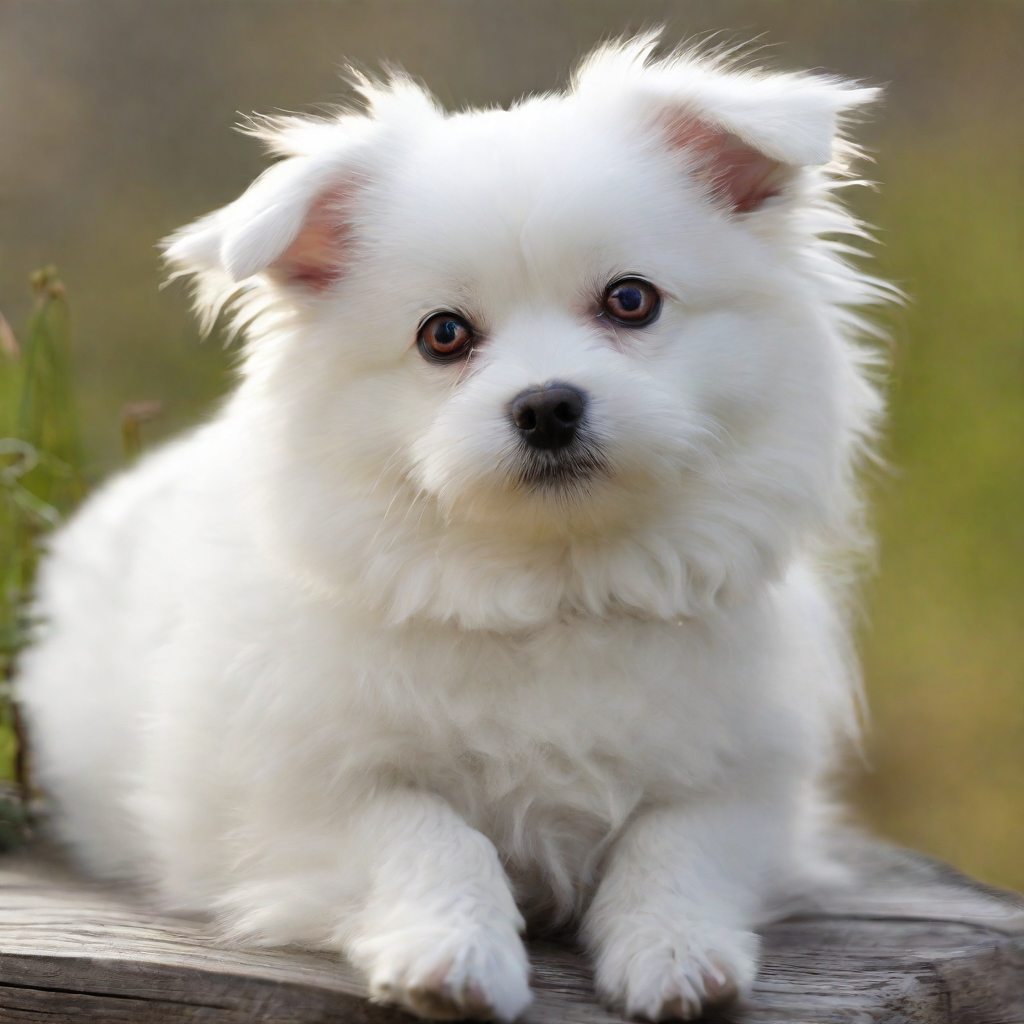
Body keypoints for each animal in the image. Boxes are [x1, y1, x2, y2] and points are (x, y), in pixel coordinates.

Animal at [22, 36, 888, 1019]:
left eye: (632, 301)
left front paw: (675, 950)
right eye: (443, 336)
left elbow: (677, 841)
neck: (554, 584)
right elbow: (426, 832)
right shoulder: (298, 803)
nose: (546, 404)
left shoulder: (752, 786)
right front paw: (453, 954)